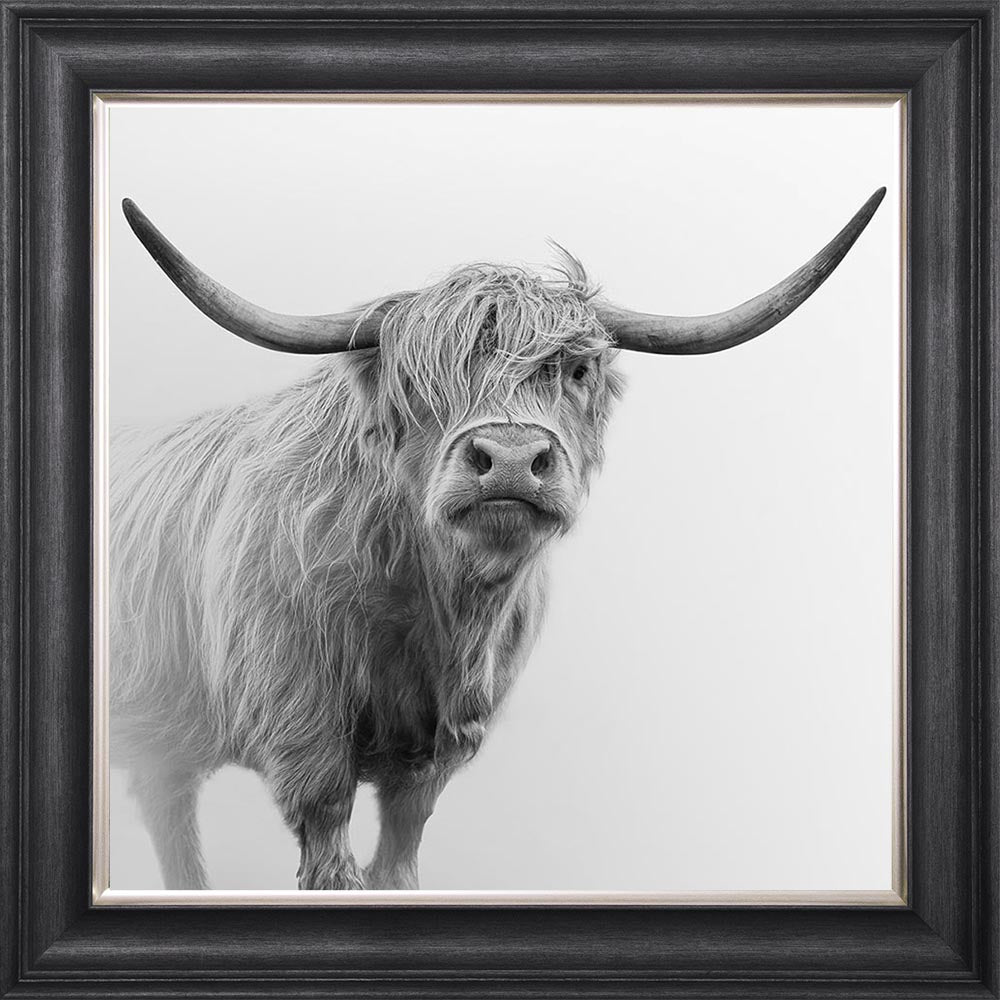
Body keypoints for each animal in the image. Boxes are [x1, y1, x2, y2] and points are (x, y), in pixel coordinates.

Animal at [111, 188, 885, 891]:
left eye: (576, 369)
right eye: (416, 381)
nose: (510, 459)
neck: (431, 606)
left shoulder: (435, 755)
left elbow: (398, 866)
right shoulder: (305, 739)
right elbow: (334, 867)